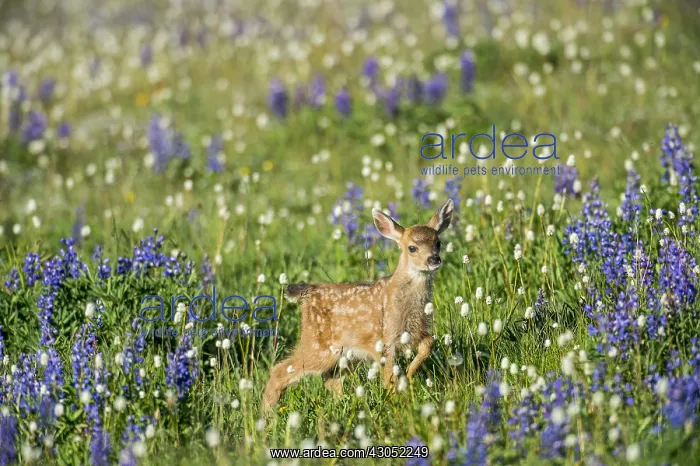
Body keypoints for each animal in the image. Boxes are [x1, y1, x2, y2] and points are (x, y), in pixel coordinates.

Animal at [262, 199, 454, 413]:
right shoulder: (386, 339)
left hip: (347, 352)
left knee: (330, 378)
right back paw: (267, 415)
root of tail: (308, 292)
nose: (434, 259)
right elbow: (390, 378)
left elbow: (429, 343)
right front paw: (397, 402)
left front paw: (410, 373)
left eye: (438, 243)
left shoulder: (416, 330)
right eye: (412, 248)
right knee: (279, 370)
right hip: (317, 345)